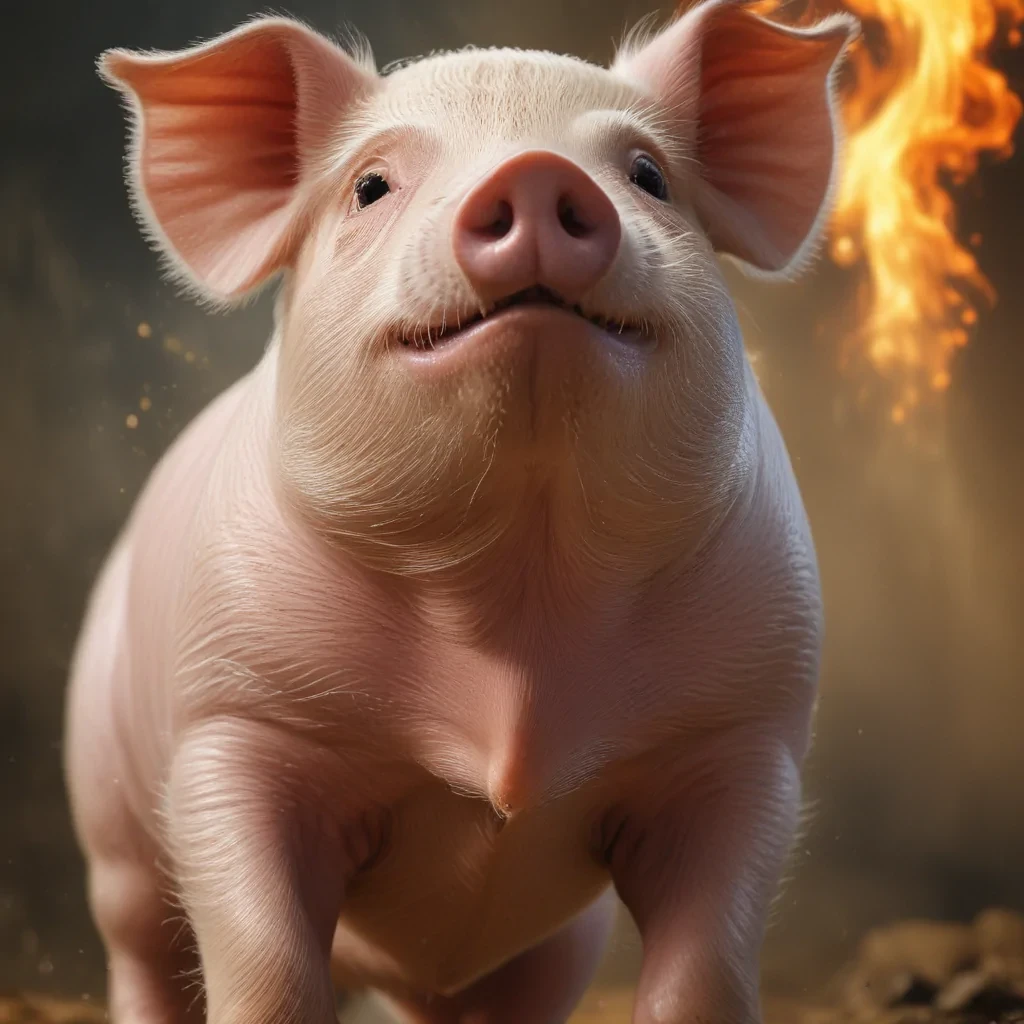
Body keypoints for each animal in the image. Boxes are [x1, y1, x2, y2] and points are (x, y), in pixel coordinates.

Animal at [64, 2, 857, 1022]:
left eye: (647, 176)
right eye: (371, 186)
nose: (537, 171)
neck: (520, 597)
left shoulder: (746, 738)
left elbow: (705, 972)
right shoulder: (236, 721)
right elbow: (268, 961)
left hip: (562, 937)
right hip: (108, 809)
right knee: (138, 945)